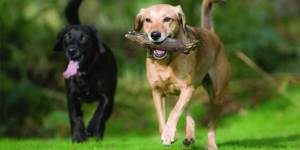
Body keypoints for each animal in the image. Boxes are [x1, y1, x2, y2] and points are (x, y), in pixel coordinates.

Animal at [52, 0, 116, 143]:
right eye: (67, 37)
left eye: (83, 38)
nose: (71, 51)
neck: (85, 72)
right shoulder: (71, 97)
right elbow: (75, 118)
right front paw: (78, 137)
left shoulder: (107, 97)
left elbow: (99, 113)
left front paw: (91, 128)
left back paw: (98, 136)